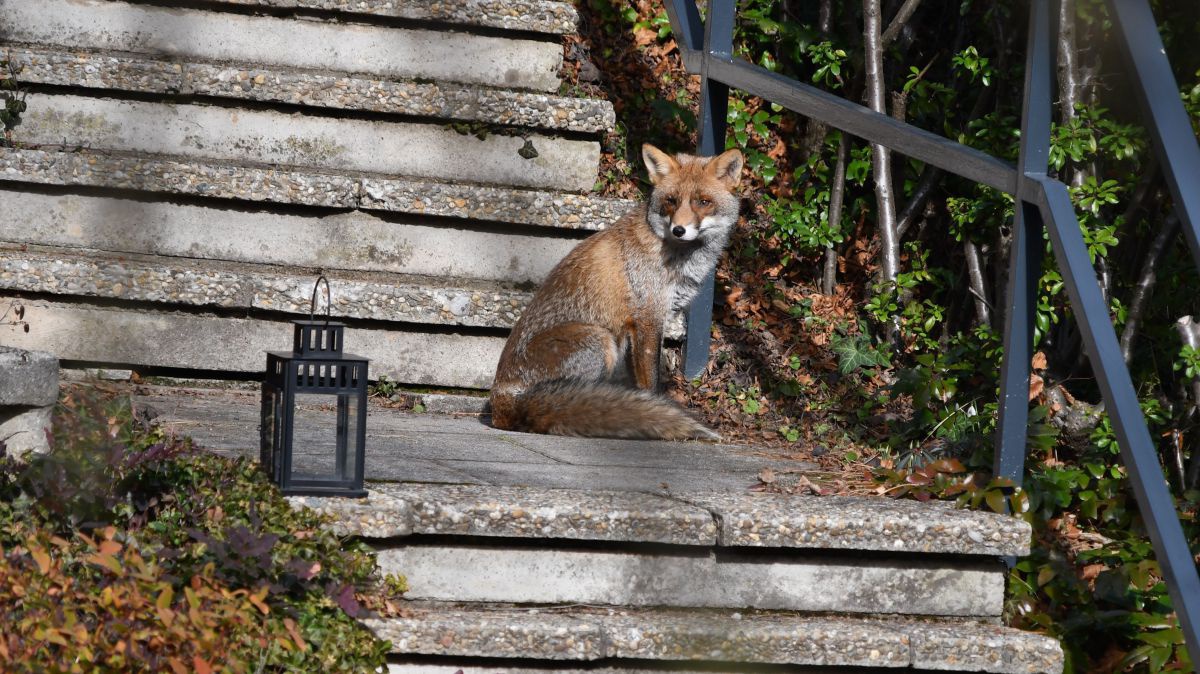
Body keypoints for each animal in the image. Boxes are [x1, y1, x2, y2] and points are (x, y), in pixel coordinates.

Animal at [487, 143, 739, 438]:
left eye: (703, 201)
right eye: (672, 200)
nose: (679, 229)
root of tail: (501, 403)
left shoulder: (637, 328)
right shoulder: (648, 318)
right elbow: (651, 380)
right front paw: (656, 409)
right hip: (600, 340)